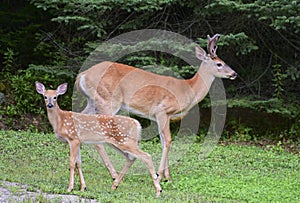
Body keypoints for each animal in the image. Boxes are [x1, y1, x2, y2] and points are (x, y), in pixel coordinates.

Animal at [75, 34, 237, 182]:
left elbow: (163, 141)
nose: (234, 73)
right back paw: (114, 174)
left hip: (93, 102)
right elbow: (169, 140)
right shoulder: (162, 111)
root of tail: (83, 74)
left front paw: (167, 176)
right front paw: (160, 176)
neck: (188, 89)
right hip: (107, 101)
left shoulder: (160, 117)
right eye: (219, 64)